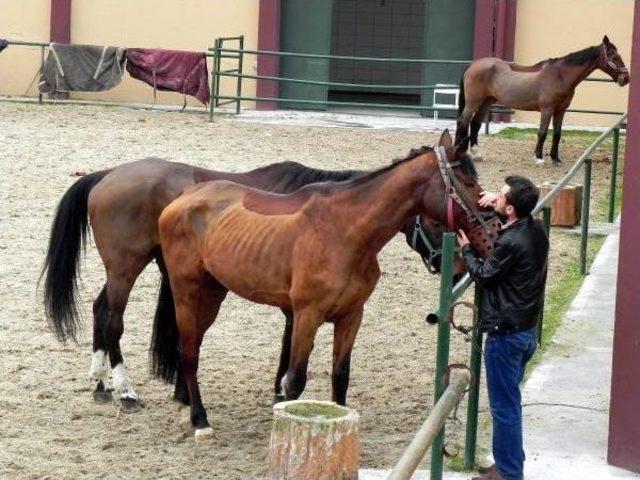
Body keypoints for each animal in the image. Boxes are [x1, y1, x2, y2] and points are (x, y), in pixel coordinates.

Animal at [41, 138, 464, 408]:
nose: (458, 265)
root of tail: (107, 174)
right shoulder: (299, 307)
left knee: (100, 310)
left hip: (123, 270)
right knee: (113, 319)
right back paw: (125, 389)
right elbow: (291, 353)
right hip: (127, 267)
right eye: (436, 221)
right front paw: (280, 393)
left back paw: (101, 383)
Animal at [158, 131, 488, 438]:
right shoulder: (307, 315)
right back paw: (200, 420)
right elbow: (294, 381)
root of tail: (183, 198)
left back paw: (188, 407)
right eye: (467, 182)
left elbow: (340, 376)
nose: (461, 268)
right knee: (189, 352)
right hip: (187, 291)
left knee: (191, 346)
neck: (344, 231)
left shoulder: (351, 316)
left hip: (213, 292)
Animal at [456, 34, 632, 164]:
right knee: (463, 121)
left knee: (475, 123)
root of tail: (473, 65)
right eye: (613, 56)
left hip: (486, 101)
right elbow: (543, 132)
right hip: (473, 102)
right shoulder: (547, 109)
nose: (626, 78)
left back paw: (476, 154)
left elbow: (557, 133)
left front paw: (555, 158)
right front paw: (539, 157)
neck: (560, 75)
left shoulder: (561, 110)